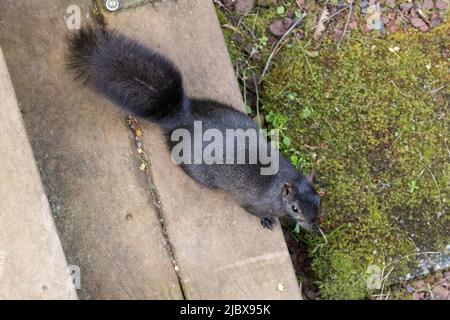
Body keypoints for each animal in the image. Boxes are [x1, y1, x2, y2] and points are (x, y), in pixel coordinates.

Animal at [67, 26, 320, 231]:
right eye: (295, 208)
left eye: (319, 200)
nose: (315, 227)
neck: (281, 181)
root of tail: (184, 117)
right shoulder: (253, 201)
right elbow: (252, 210)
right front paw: (268, 220)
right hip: (197, 170)